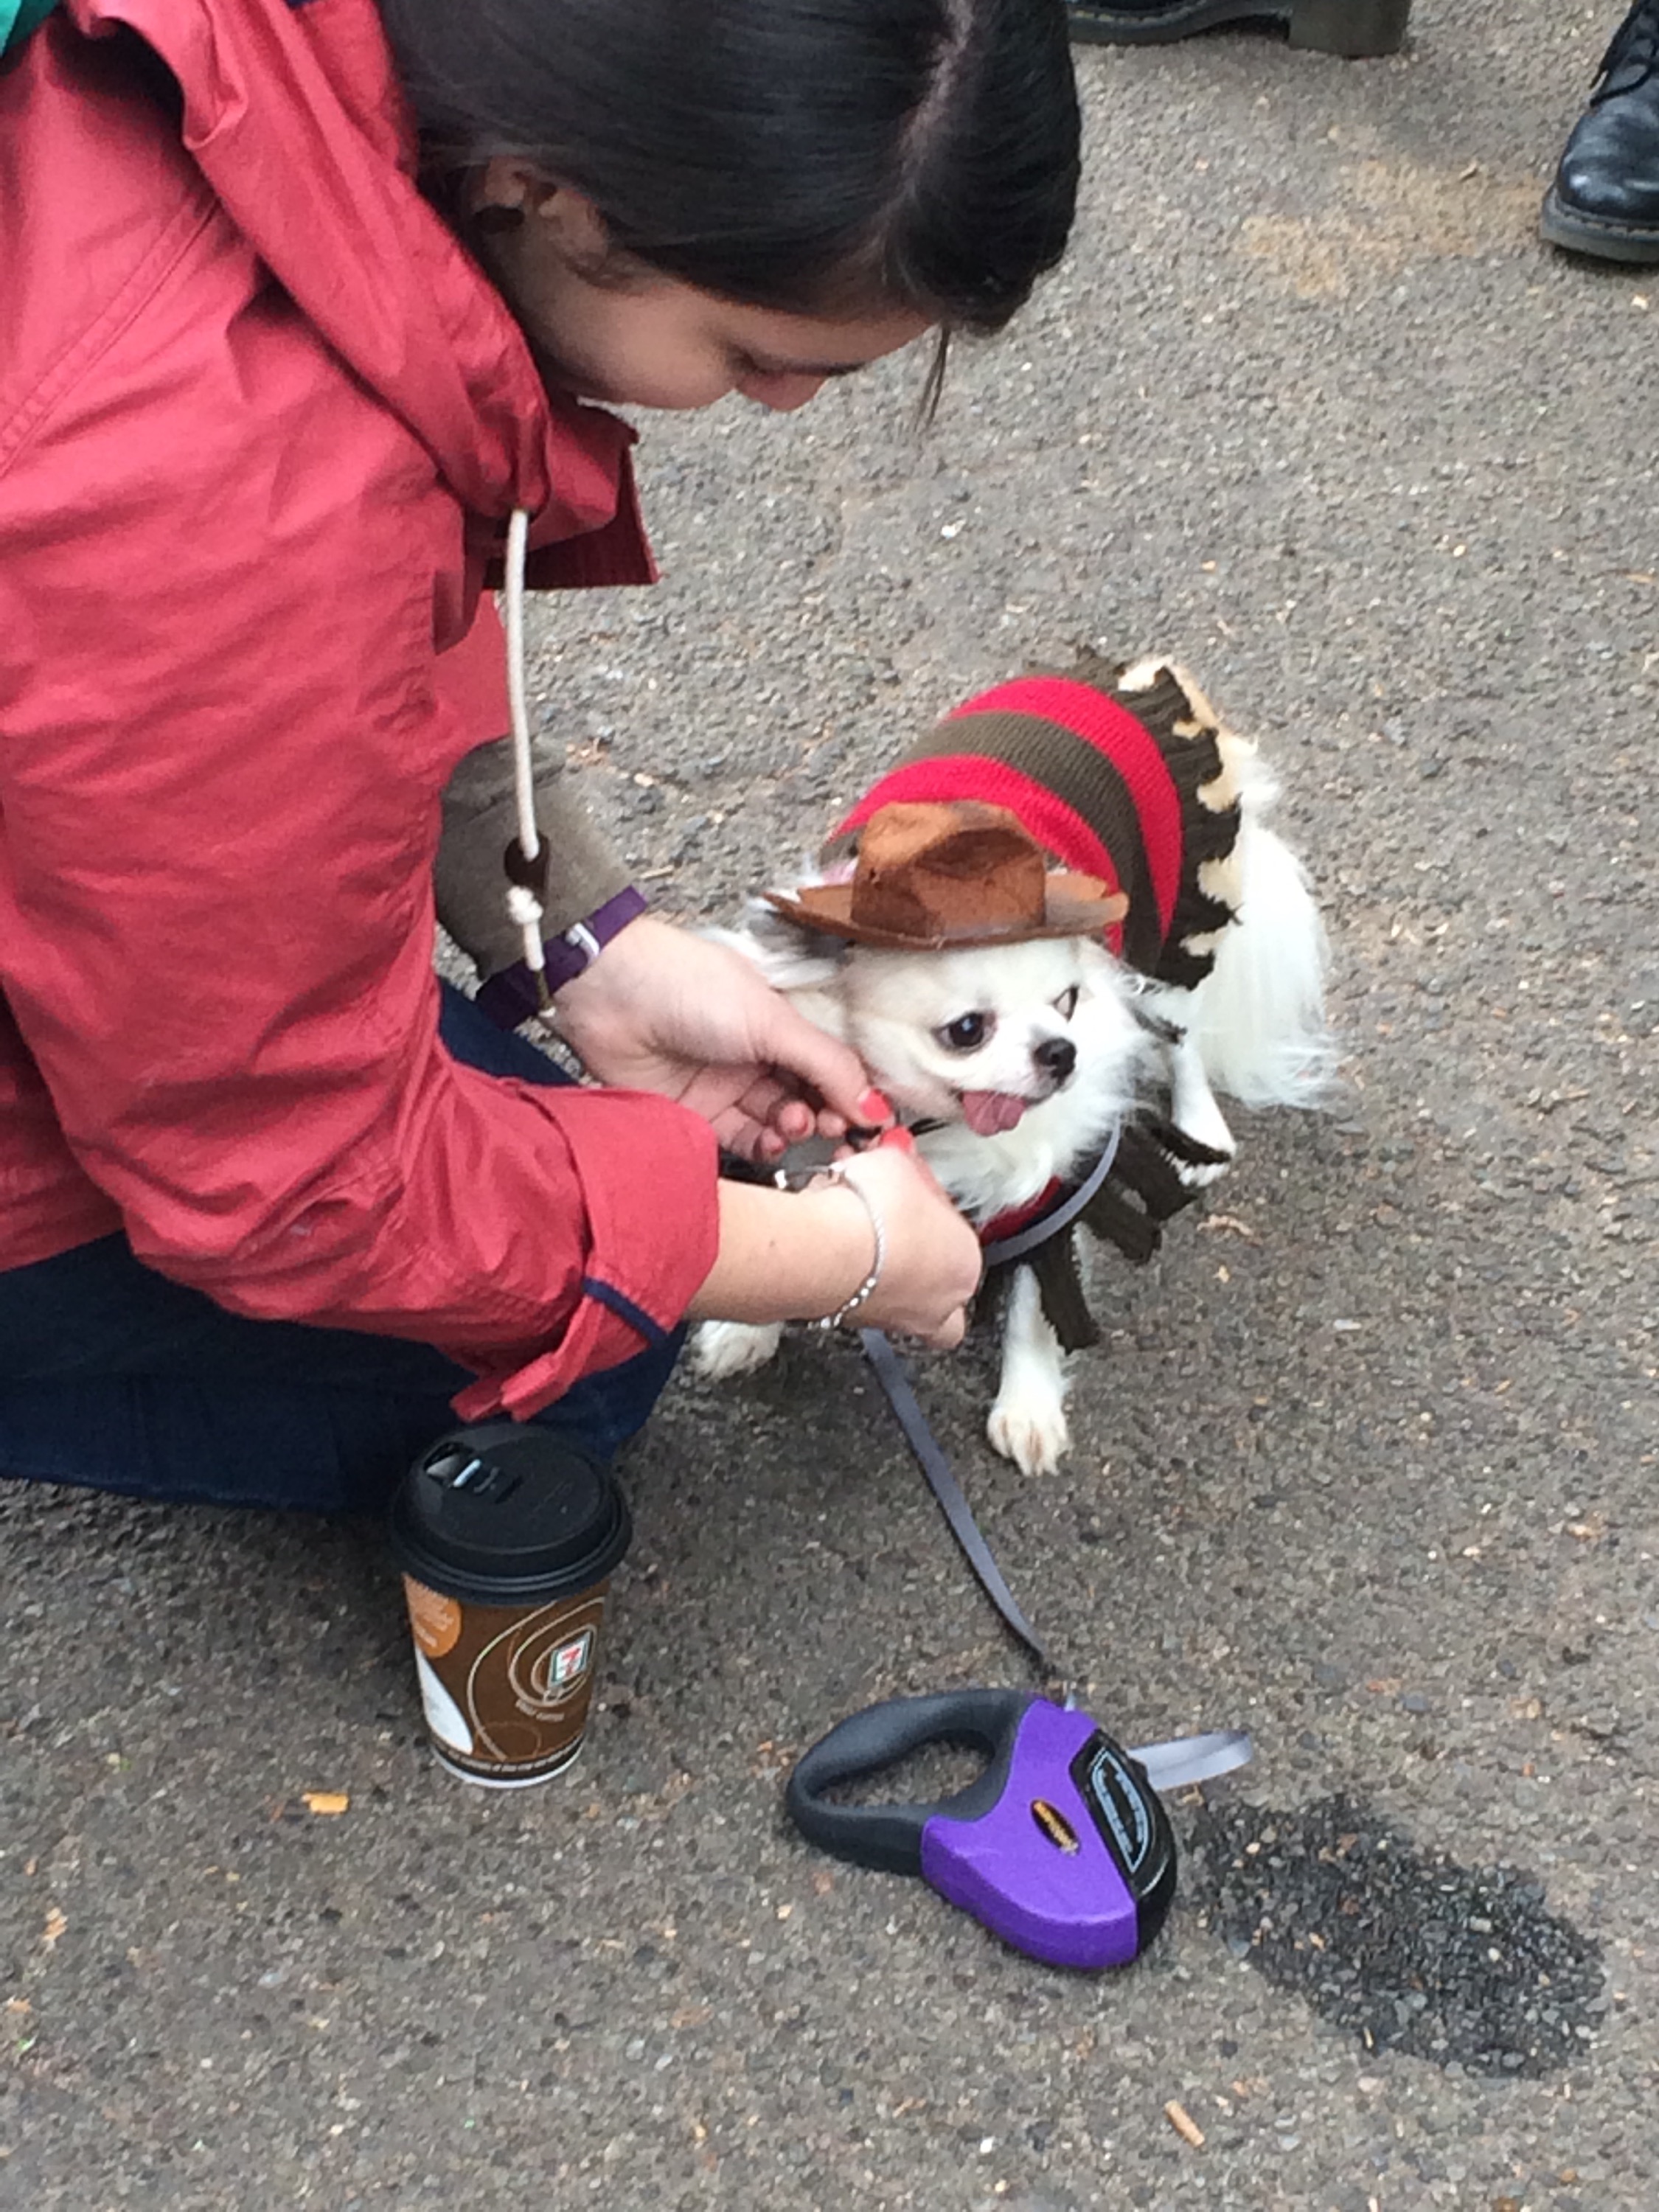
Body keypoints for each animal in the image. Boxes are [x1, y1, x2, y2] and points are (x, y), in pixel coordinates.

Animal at [695, 654, 1334, 1476]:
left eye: (1066, 1001)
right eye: (967, 1031)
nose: (1061, 1052)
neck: (930, 1126)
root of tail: (1133, 672)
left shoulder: (1054, 1187)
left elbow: (1039, 1294)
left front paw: (1028, 1405)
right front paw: (751, 1328)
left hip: (1175, 929)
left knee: (1182, 1037)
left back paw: (1199, 1135)